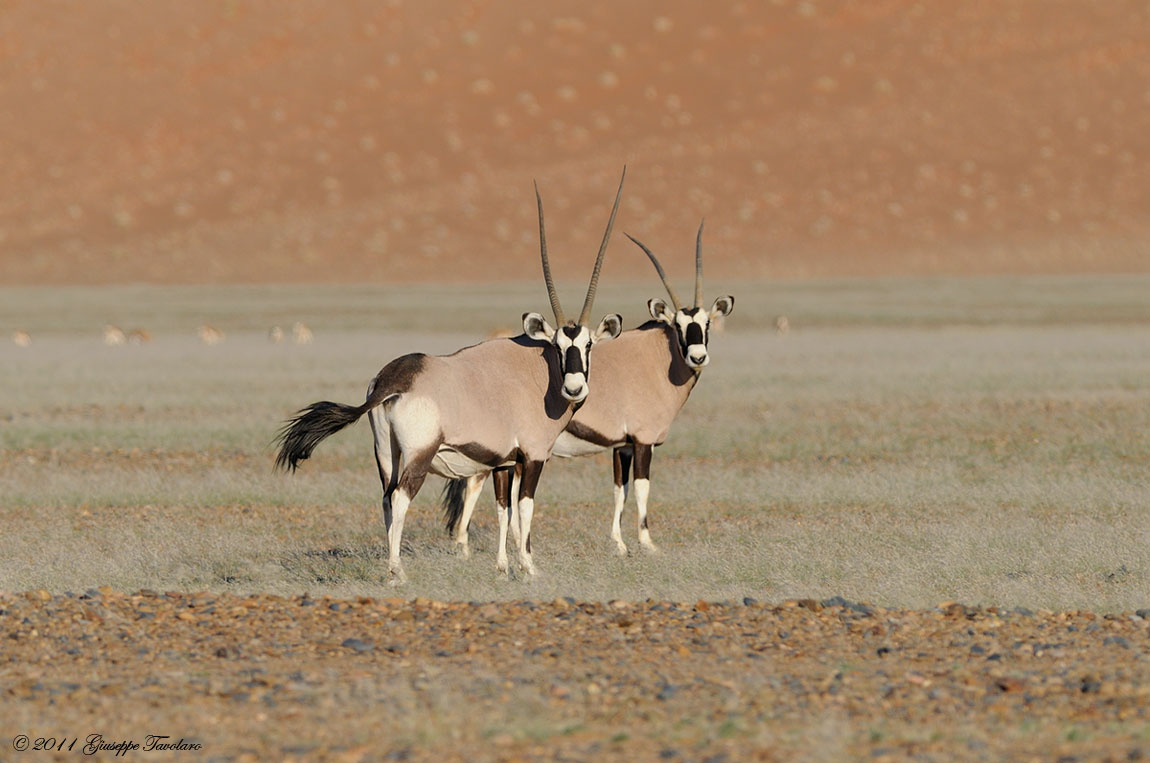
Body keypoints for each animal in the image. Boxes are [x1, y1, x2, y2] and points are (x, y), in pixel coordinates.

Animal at [273, 171, 625, 580]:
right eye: (557, 346)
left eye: (588, 345)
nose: (574, 387)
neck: (537, 376)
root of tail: (392, 381)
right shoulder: (534, 456)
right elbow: (524, 509)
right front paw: (529, 567)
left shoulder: (503, 461)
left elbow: (503, 510)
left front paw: (502, 567)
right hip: (419, 454)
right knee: (401, 497)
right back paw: (397, 572)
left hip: (386, 453)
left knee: (386, 499)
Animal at [443, 219, 731, 554]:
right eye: (679, 326)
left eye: (706, 324)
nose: (698, 356)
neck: (657, 358)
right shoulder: (642, 441)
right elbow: (642, 487)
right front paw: (647, 544)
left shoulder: (623, 445)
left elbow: (620, 490)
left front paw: (619, 545)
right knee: (475, 484)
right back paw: (465, 547)